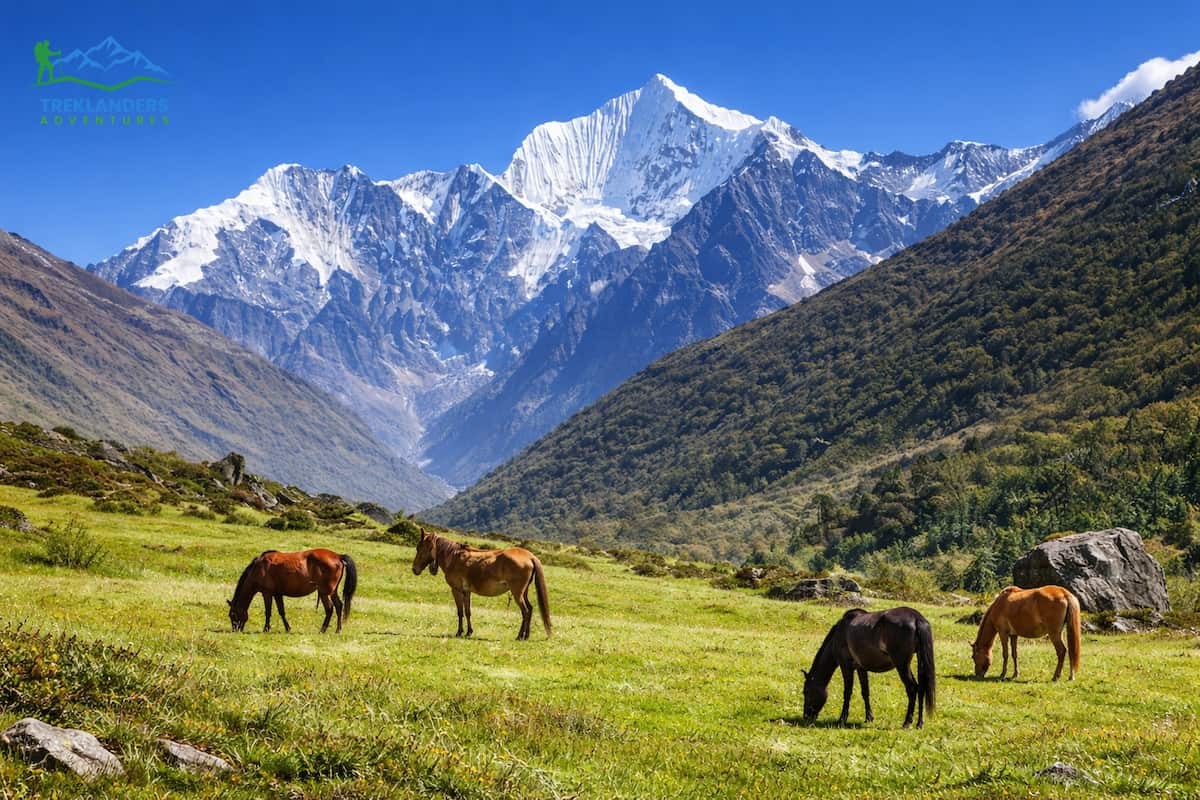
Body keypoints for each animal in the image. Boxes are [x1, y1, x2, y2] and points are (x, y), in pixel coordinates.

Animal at [227, 548, 357, 633]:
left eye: (232, 614)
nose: (235, 630)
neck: (259, 568)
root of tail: (338, 556)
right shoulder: (277, 594)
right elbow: (281, 611)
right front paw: (287, 628)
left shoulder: (267, 593)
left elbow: (268, 612)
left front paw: (266, 629)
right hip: (332, 592)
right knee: (339, 606)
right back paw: (338, 630)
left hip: (324, 592)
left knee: (329, 609)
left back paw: (323, 629)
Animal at [411, 529, 551, 640]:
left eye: (420, 548)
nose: (414, 569)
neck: (454, 557)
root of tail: (530, 556)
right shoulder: (466, 592)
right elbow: (467, 612)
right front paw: (468, 632)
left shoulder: (456, 590)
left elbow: (460, 612)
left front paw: (459, 632)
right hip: (523, 592)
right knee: (530, 609)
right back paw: (526, 635)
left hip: (517, 593)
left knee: (525, 611)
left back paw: (520, 636)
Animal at [802, 607, 936, 729]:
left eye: (806, 691)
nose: (806, 717)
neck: (840, 633)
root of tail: (916, 618)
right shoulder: (861, 668)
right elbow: (865, 691)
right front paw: (869, 718)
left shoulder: (846, 666)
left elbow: (847, 692)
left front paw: (842, 720)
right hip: (917, 660)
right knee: (921, 688)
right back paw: (919, 723)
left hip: (902, 664)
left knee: (912, 688)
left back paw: (907, 723)